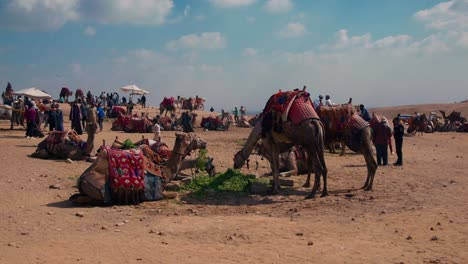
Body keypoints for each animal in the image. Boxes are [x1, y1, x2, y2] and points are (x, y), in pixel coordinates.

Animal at [70, 133, 208, 205]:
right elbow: (175, 194)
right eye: (194, 136)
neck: (163, 172)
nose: (204, 142)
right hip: (98, 191)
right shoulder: (158, 193)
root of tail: (82, 179)